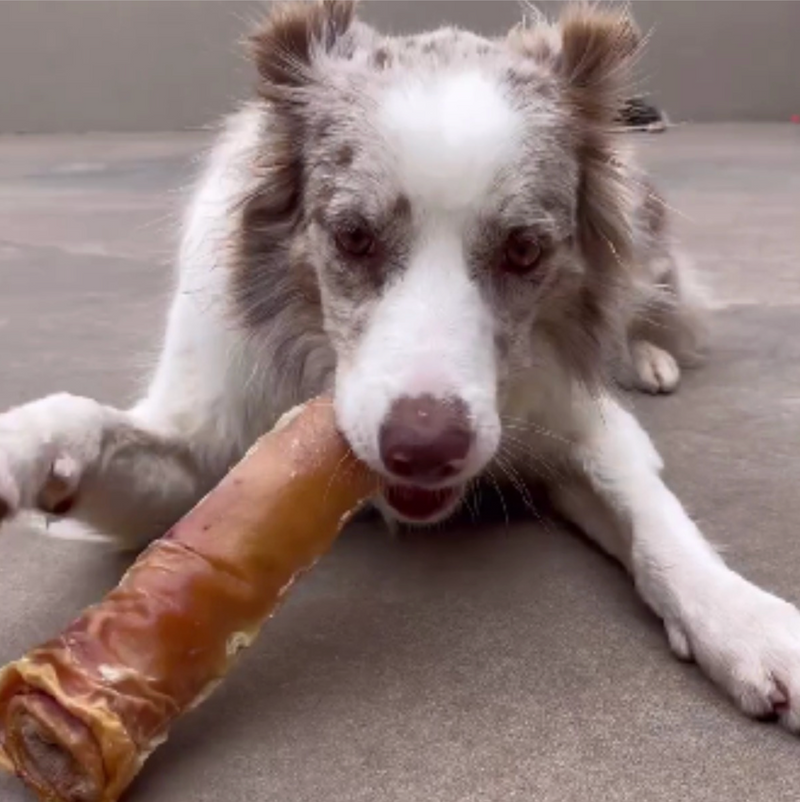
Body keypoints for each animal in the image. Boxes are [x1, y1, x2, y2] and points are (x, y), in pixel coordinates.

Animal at [1, 1, 800, 732]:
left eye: (524, 250)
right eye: (353, 236)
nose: (424, 448)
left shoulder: (580, 421)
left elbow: (655, 519)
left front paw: (747, 623)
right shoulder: (201, 451)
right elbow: (94, 426)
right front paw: (24, 447)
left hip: (645, 236)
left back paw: (646, 354)